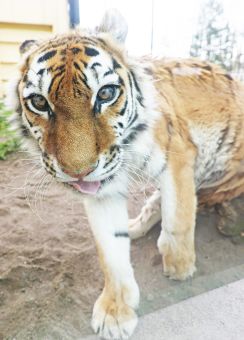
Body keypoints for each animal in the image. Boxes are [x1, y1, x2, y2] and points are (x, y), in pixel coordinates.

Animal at [7, 7, 244, 340]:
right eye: (39, 102)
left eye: (106, 94)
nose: (78, 172)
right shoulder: (102, 192)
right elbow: (111, 251)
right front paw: (115, 311)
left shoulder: (178, 155)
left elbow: (179, 216)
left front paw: (180, 266)